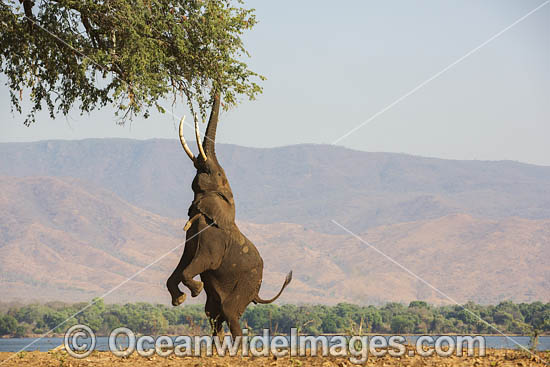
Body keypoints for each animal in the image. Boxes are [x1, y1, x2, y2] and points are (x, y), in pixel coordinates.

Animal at [166, 93, 294, 338]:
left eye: (216, 173)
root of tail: (257, 294)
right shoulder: (193, 233)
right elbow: (183, 261)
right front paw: (180, 299)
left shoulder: (213, 239)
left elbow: (202, 262)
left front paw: (195, 290)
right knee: (213, 314)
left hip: (248, 283)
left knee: (229, 313)